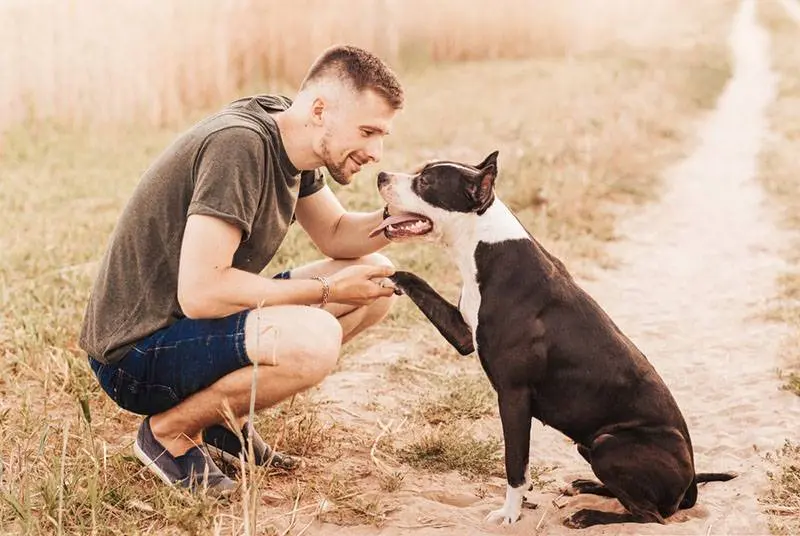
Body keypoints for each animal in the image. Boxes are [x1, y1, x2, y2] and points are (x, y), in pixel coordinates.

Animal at [372, 151, 736, 528]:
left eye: (426, 182)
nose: (381, 175)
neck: (484, 243)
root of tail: (690, 484)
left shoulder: (514, 396)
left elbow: (515, 463)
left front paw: (510, 513)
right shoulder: (462, 334)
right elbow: (415, 280)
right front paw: (381, 276)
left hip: (609, 444)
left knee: (650, 516)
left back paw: (588, 515)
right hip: (590, 445)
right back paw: (586, 485)